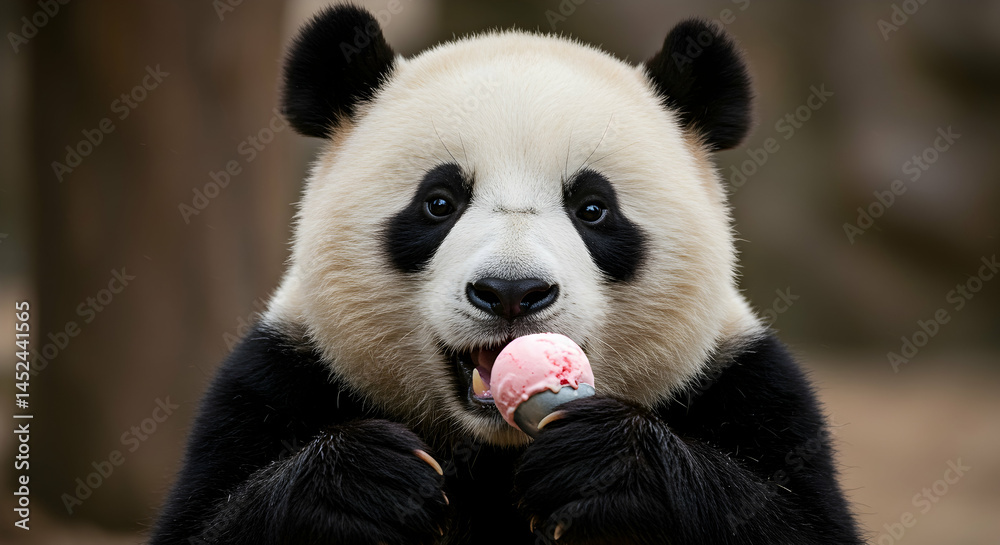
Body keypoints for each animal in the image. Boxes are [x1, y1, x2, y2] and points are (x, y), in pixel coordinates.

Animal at [152, 5, 862, 545]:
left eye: (592, 208)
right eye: (439, 202)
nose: (512, 293)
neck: (495, 451)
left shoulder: (746, 386)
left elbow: (795, 522)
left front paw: (607, 464)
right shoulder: (276, 379)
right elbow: (209, 522)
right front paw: (366, 482)